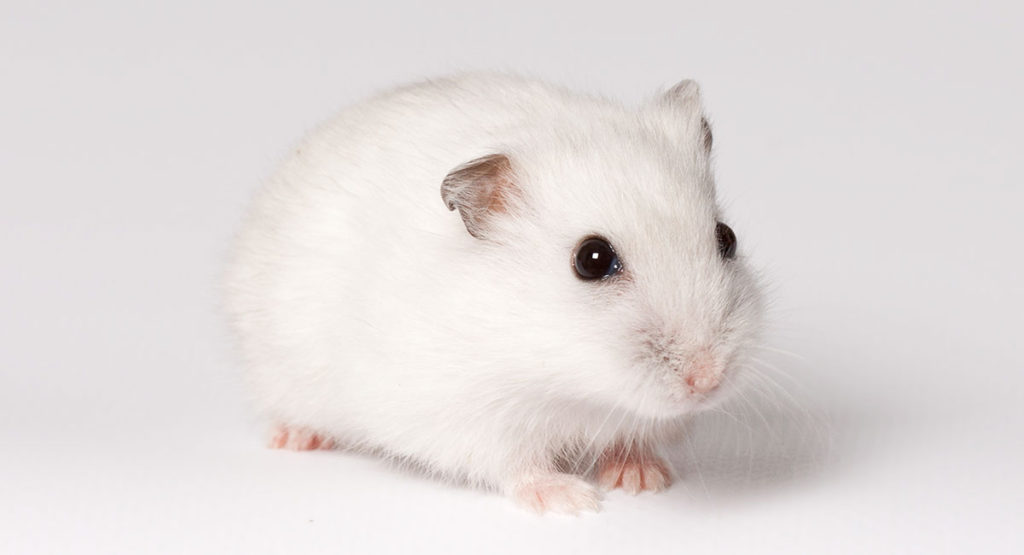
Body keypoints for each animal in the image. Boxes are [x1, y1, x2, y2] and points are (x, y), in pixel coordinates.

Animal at [223, 72, 764, 514]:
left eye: (727, 238)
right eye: (591, 260)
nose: (707, 380)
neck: (566, 381)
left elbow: (631, 441)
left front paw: (643, 479)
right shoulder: (470, 417)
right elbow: (515, 464)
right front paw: (572, 501)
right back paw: (296, 439)